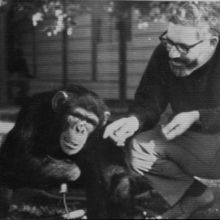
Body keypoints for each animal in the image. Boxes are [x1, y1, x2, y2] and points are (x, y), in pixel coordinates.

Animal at [0, 84, 144, 218]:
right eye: (76, 115)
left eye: (90, 122)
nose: (80, 129)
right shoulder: (32, 110)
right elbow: (17, 157)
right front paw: (72, 169)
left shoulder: (104, 135)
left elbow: (112, 174)